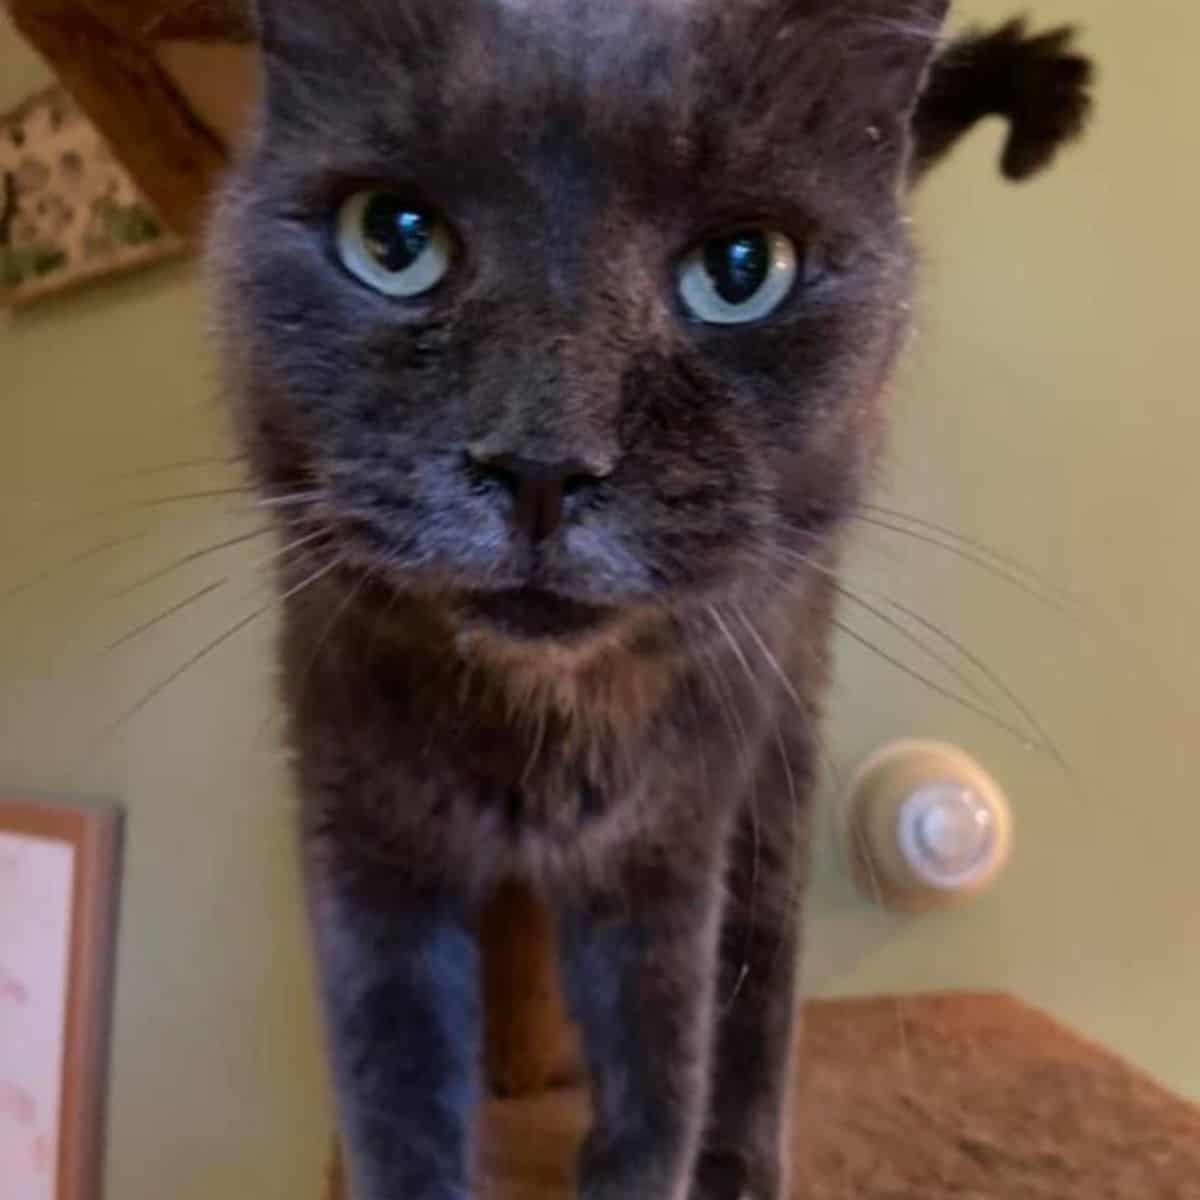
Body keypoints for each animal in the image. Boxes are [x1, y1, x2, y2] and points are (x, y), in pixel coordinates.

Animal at [211, 2, 1094, 1200]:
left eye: (742, 270)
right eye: (390, 239)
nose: (542, 462)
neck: (534, 727)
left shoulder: (665, 840)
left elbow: (658, 1074)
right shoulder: (362, 823)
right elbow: (393, 1082)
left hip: (778, 735)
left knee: (761, 964)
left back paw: (743, 1160)